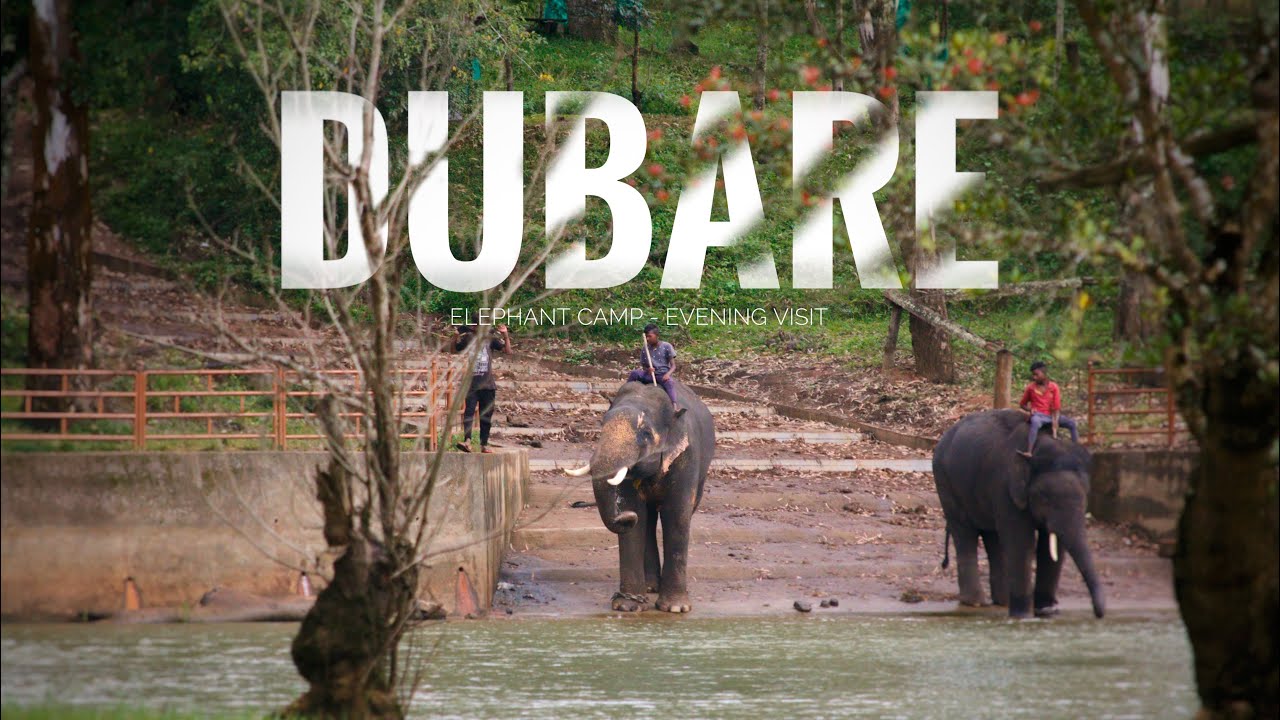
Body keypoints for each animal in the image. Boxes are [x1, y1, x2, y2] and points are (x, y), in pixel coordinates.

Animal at [564, 379, 715, 613]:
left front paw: (675, 608)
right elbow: (635, 511)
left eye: (645, 434)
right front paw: (627, 606)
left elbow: (677, 514)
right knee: (649, 520)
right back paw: (651, 586)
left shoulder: (686, 456)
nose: (625, 516)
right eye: (601, 426)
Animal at [932, 409, 1105, 619]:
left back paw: (1002, 601)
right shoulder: (1005, 486)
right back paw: (975, 603)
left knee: (993, 537)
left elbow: (1048, 546)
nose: (1098, 613)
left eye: (1086, 496)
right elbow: (1021, 540)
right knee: (965, 532)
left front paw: (1046, 611)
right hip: (946, 482)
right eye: (1044, 497)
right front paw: (1022, 616)